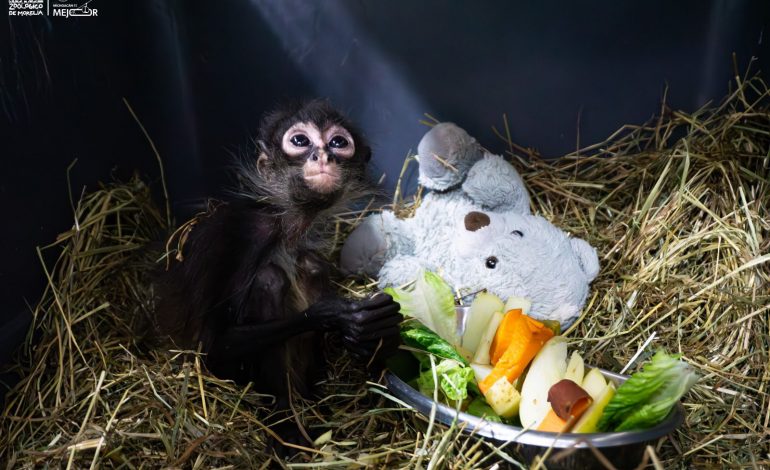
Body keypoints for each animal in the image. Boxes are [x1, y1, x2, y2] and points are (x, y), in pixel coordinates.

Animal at [153, 100, 402, 445]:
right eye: (300, 141)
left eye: (338, 142)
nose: (322, 155)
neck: (285, 228)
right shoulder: (239, 233)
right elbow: (212, 346)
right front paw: (337, 313)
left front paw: (377, 331)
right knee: (271, 278)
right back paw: (285, 425)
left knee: (309, 266)